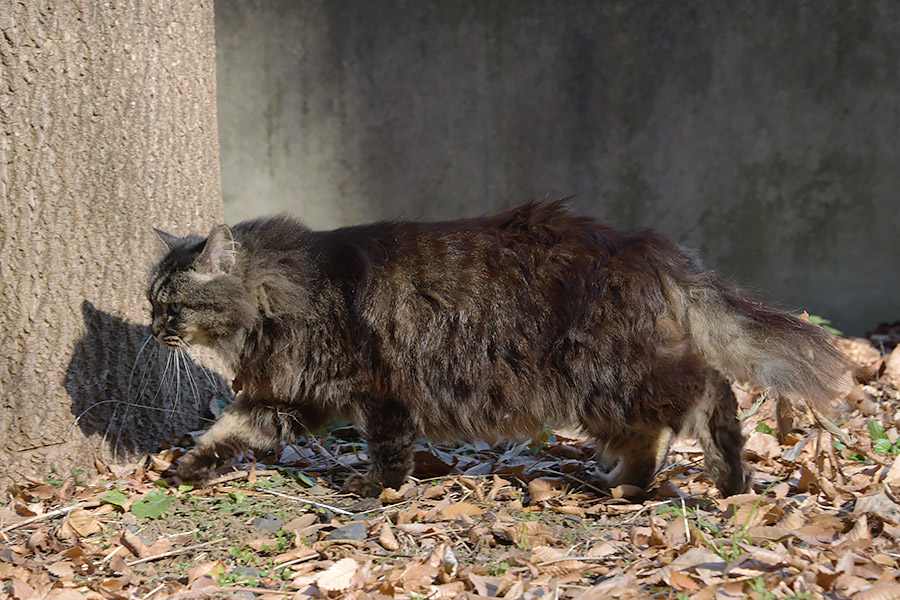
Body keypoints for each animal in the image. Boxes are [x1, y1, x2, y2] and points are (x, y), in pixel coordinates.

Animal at [148, 202, 852, 496]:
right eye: (151, 302)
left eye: (171, 306)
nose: (153, 330)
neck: (289, 293)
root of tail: (646, 244)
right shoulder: (286, 396)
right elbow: (227, 432)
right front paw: (184, 470)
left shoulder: (379, 390)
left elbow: (389, 449)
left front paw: (379, 489)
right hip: (601, 392)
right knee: (651, 432)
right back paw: (627, 484)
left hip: (612, 372)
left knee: (710, 390)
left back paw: (729, 478)